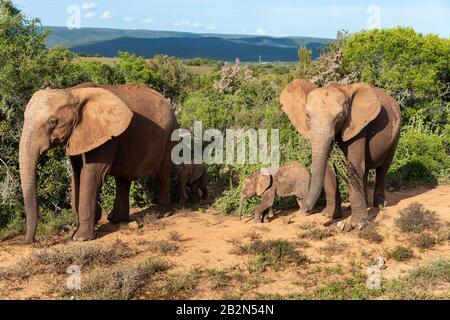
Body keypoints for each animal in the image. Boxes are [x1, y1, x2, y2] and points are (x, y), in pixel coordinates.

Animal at [19, 82, 178, 242]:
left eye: (53, 122)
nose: (32, 241)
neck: (72, 92)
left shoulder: (105, 137)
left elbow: (91, 176)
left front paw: (80, 238)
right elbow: (76, 174)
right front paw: (95, 217)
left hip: (170, 135)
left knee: (163, 174)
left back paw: (162, 213)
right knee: (123, 178)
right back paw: (116, 220)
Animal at [282, 80, 400, 230]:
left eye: (339, 117)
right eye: (307, 115)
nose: (303, 211)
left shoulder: (357, 126)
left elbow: (353, 165)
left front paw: (357, 224)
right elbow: (328, 168)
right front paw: (329, 215)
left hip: (396, 134)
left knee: (383, 169)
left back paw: (379, 205)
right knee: (365, 170)